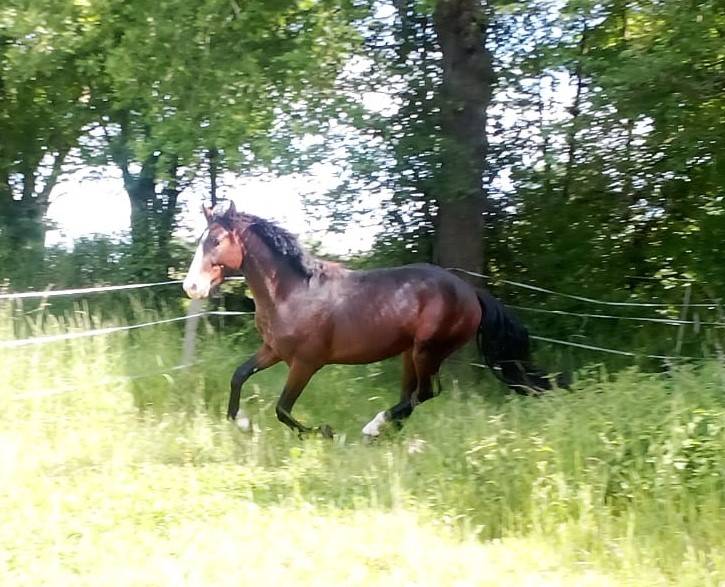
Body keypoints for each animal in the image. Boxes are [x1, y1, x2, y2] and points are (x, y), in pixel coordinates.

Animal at [183, 200, 565, 438]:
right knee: (413, 396)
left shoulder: (306, 362)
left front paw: (325, 432)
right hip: (411, 353)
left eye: (216, 241)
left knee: (424, 393)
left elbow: (282, 409)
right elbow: (239, 376)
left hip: (428, 350)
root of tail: (471, 292)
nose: (191, 286)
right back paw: (382, 435)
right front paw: (243, 424)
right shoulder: (273, 350)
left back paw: (372, 428)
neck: (293, 292)